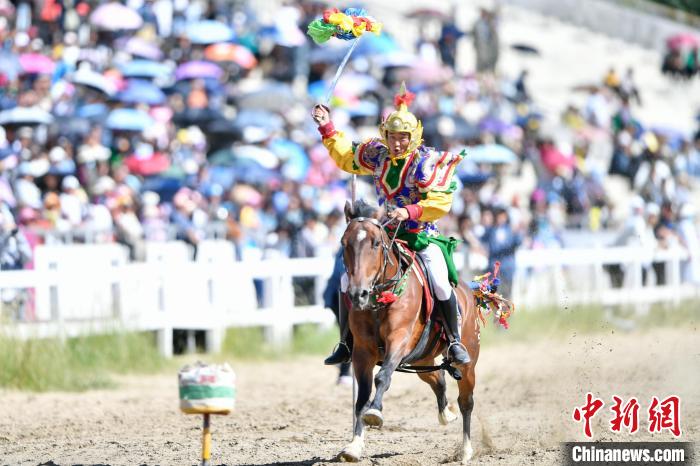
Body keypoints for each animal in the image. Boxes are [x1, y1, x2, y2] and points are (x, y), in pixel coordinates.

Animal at [338, 200, 481, 463]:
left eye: (376, 243)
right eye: (344, 243)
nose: (357, 293)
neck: (380, 300)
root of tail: (470, 293)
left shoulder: (399, 340)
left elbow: (383, 377)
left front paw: (375, 412)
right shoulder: (362, 352)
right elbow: (361, 396)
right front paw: (354, 446)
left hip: (467, 363)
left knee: (466, 401)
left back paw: (466, 450)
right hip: (421, 360)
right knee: (438, 379)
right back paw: (446, 413)